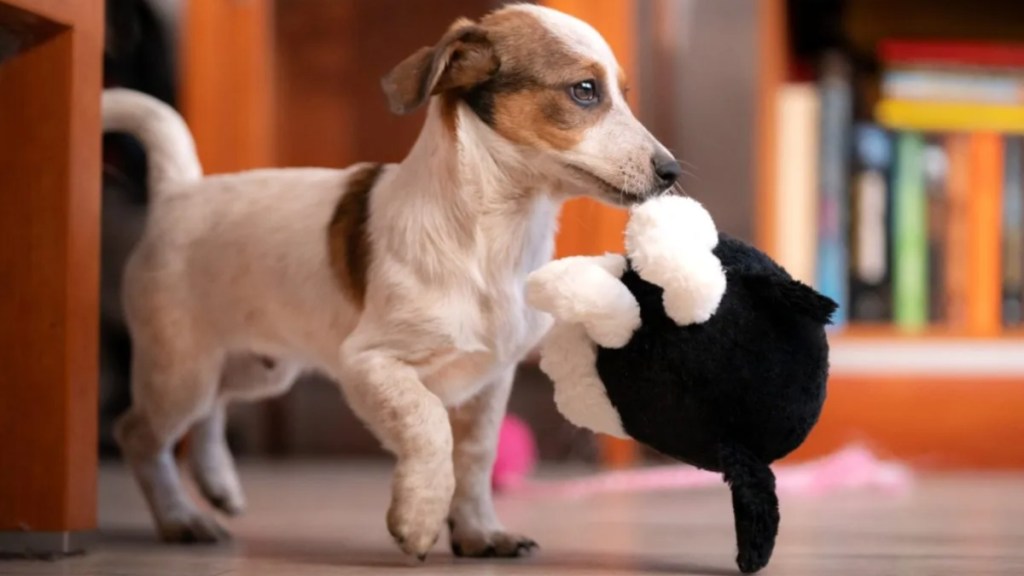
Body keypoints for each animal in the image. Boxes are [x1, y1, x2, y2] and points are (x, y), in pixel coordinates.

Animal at [103, 3, 679, 561]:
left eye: (623, 94)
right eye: (585, 91)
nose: (671, 172)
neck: (494, 241)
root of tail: (178, 192)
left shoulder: (491, 380)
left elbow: (475, 458)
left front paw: (479, 532)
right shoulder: (369, 363)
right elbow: (430, 426)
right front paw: (419, 517)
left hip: (260, 368)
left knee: (211, 408)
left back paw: (217, 481)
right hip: (181, 370)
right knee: (139, 434)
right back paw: (180, 517)